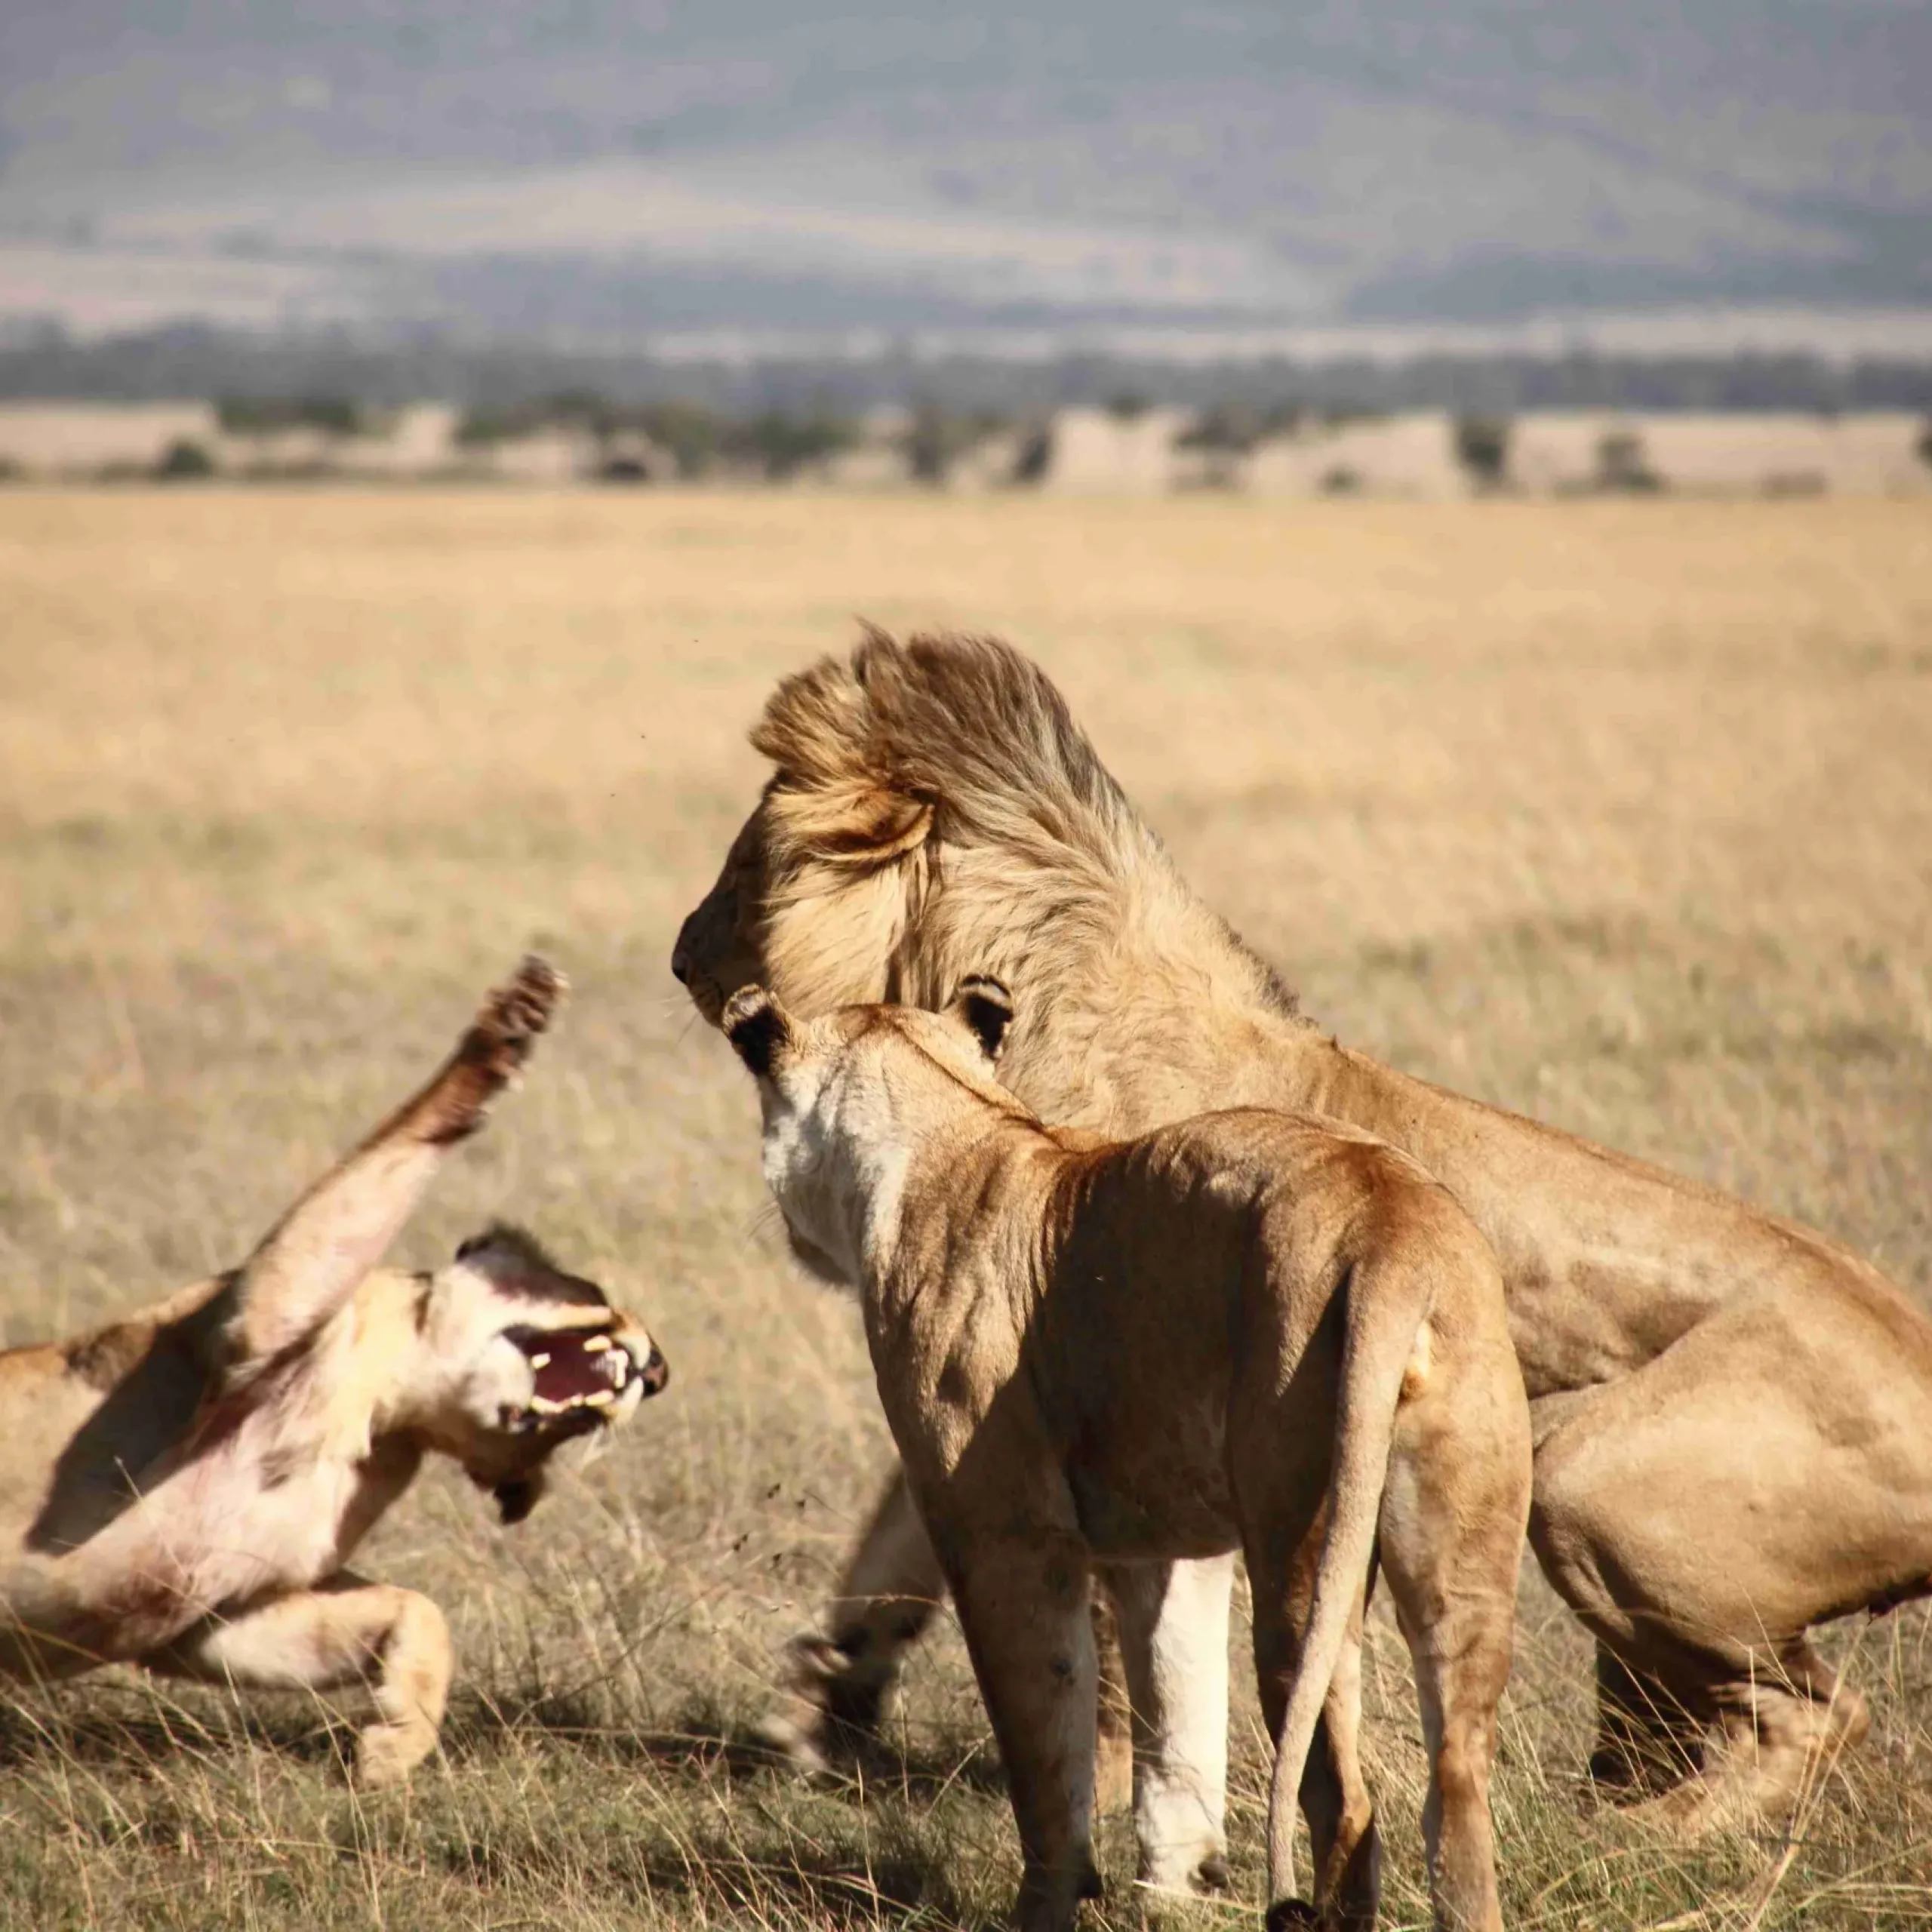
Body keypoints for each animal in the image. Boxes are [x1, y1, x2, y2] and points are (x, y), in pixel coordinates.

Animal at [0, 957, 668, 1786]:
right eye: (594, 1288)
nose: (663, 1368)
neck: (387, 1420)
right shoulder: (253, 1321)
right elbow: (384, 1158)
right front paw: (509, 1026)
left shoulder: (215, 1612)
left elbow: (418, 1612)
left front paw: (390, 1752)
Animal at [722, 975, 1530, 1932]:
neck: (948, 1125)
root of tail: (1389, 1222)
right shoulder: (1168, 1546)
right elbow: (1176, 1709)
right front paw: (1177, 1886)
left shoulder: (1003, 1535)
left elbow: (1045, 1747)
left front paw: (1049, 1900)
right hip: (1463, 1546)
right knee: (1457, 1783)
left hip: (1302, 1539)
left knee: (1342, 1802)